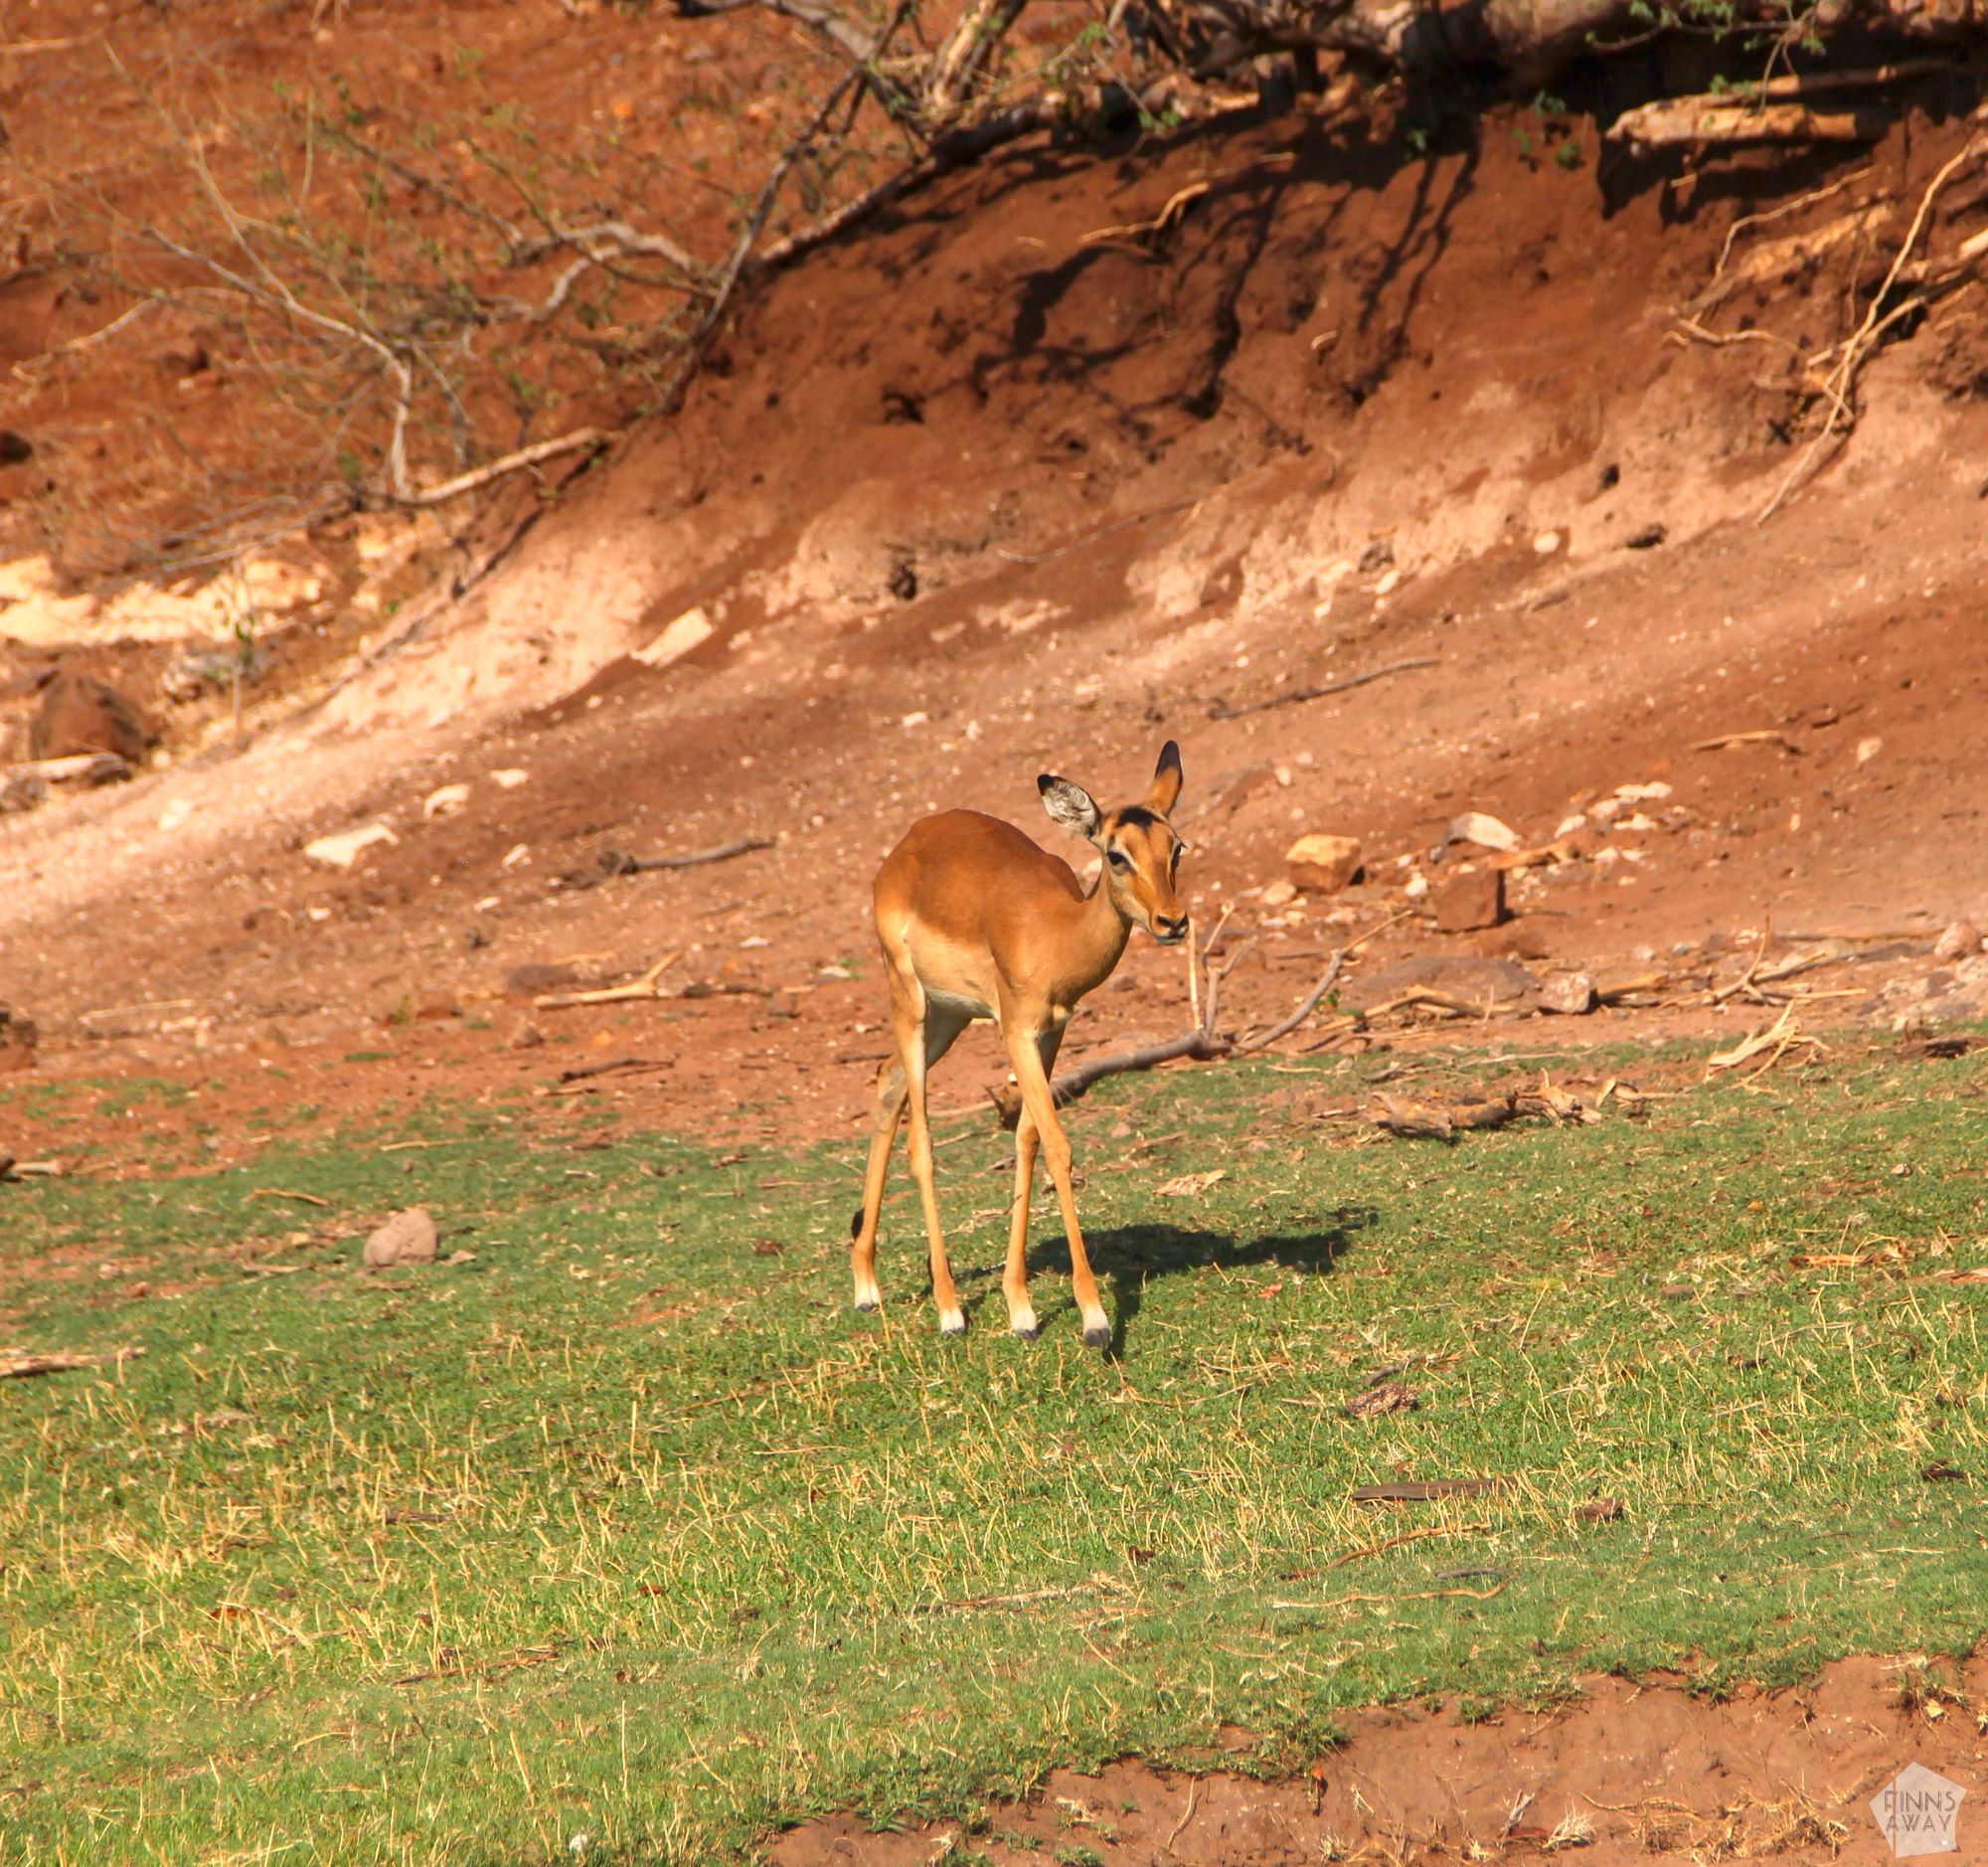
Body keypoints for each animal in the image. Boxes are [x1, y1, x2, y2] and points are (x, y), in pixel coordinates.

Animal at [850, 742, 1188, 1348]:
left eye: (1176, 847)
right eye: (1116, 855)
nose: (1172, 921)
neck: (1054, 933)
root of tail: (910, 841)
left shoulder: (1052, 1032)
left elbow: (1028, 1138)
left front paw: (1022, 1310)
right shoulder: (1016, 1032)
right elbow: (1057, 1144)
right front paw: (1095, 1320)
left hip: (949, 1018)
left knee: (888, 1081)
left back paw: (866, 1286)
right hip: (910, 1001)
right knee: (921, 1139)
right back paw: (949, 1310)